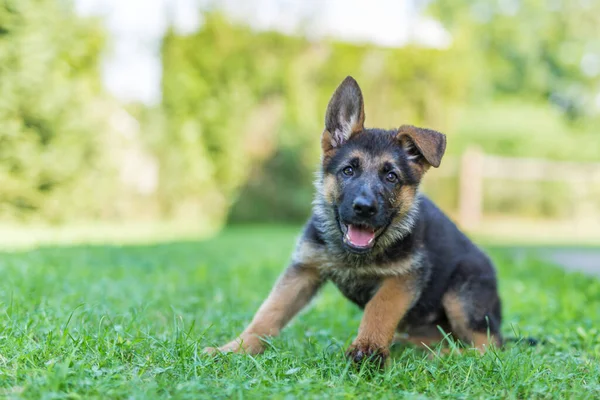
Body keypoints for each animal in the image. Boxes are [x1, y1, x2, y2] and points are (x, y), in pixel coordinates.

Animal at [206, 76, 502, 368]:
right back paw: (411, 346)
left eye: (391, 177)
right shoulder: (304, 269)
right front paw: (236, 348)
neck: (355, 257)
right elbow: (270, 311)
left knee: (489, 346)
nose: (363, 208)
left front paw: (368, 349)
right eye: (348, 171)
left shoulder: (404, 276)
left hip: (462, 292)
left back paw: (443, 355)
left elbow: (379, 308)